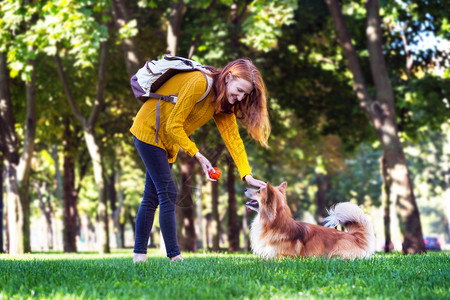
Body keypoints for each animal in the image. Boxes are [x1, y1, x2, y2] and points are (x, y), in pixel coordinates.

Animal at [244, 182, 374, 258]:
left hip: (336, 254)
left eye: (258, 191)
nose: (245, 188)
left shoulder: (283, 257)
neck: (274, 223)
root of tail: (355, 237)